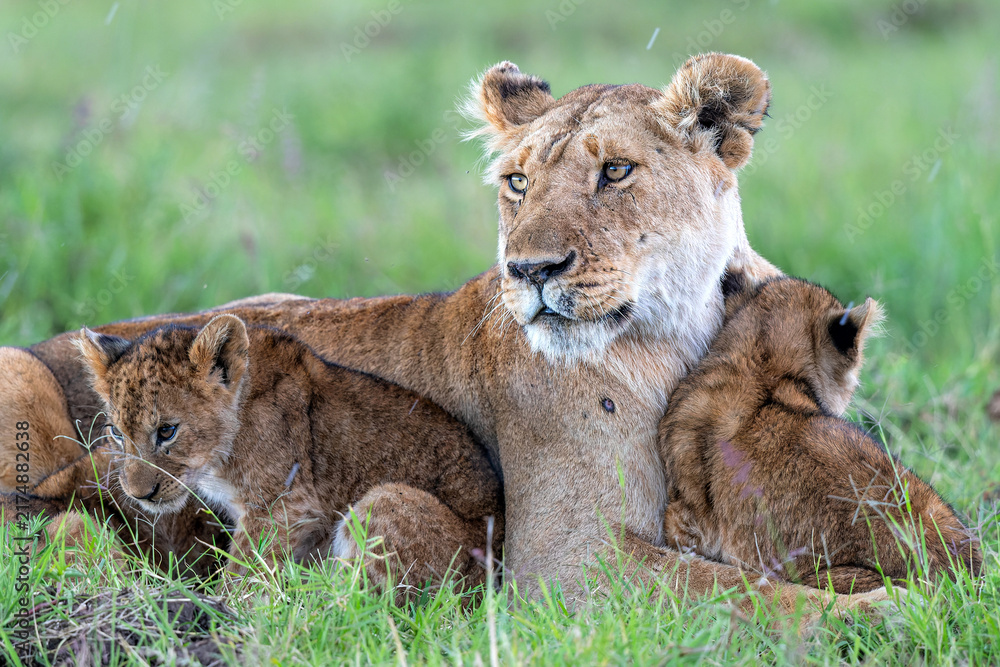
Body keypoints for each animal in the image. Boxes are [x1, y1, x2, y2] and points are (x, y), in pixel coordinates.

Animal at [75, 314, 502, 589]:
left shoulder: (286, 505)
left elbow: (243, 573)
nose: (139, 494)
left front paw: (227, 616)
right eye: (116, 432)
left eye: (167, 431)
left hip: (386, 500)